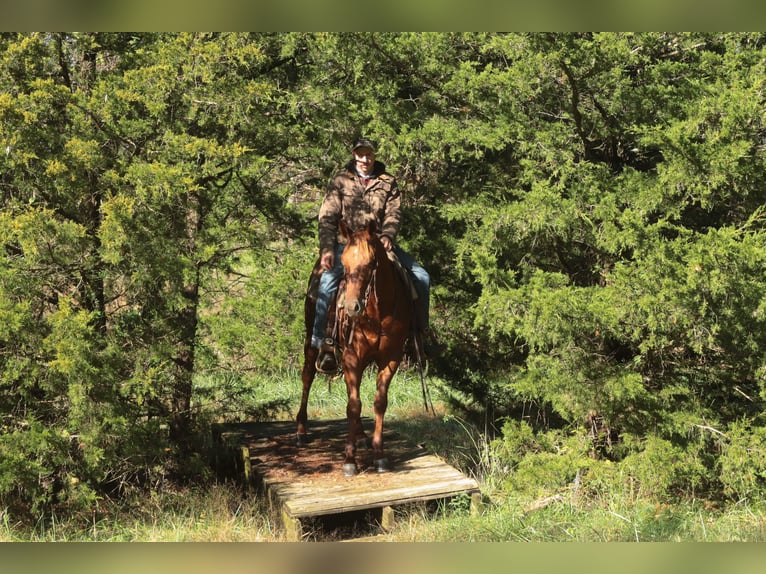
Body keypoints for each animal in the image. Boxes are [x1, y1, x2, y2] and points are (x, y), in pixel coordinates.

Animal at [296, 219, 414, 476]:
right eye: (345, 263)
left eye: (370, 264)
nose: (351, 307)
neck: (378, 314)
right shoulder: (352, 356)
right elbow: (353, 405)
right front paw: (349, 460)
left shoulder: (390, 358)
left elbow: (379, 402)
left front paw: (379, 456)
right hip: (311, 337)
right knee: (307, 376)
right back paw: (301, 430)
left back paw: (360, 436)